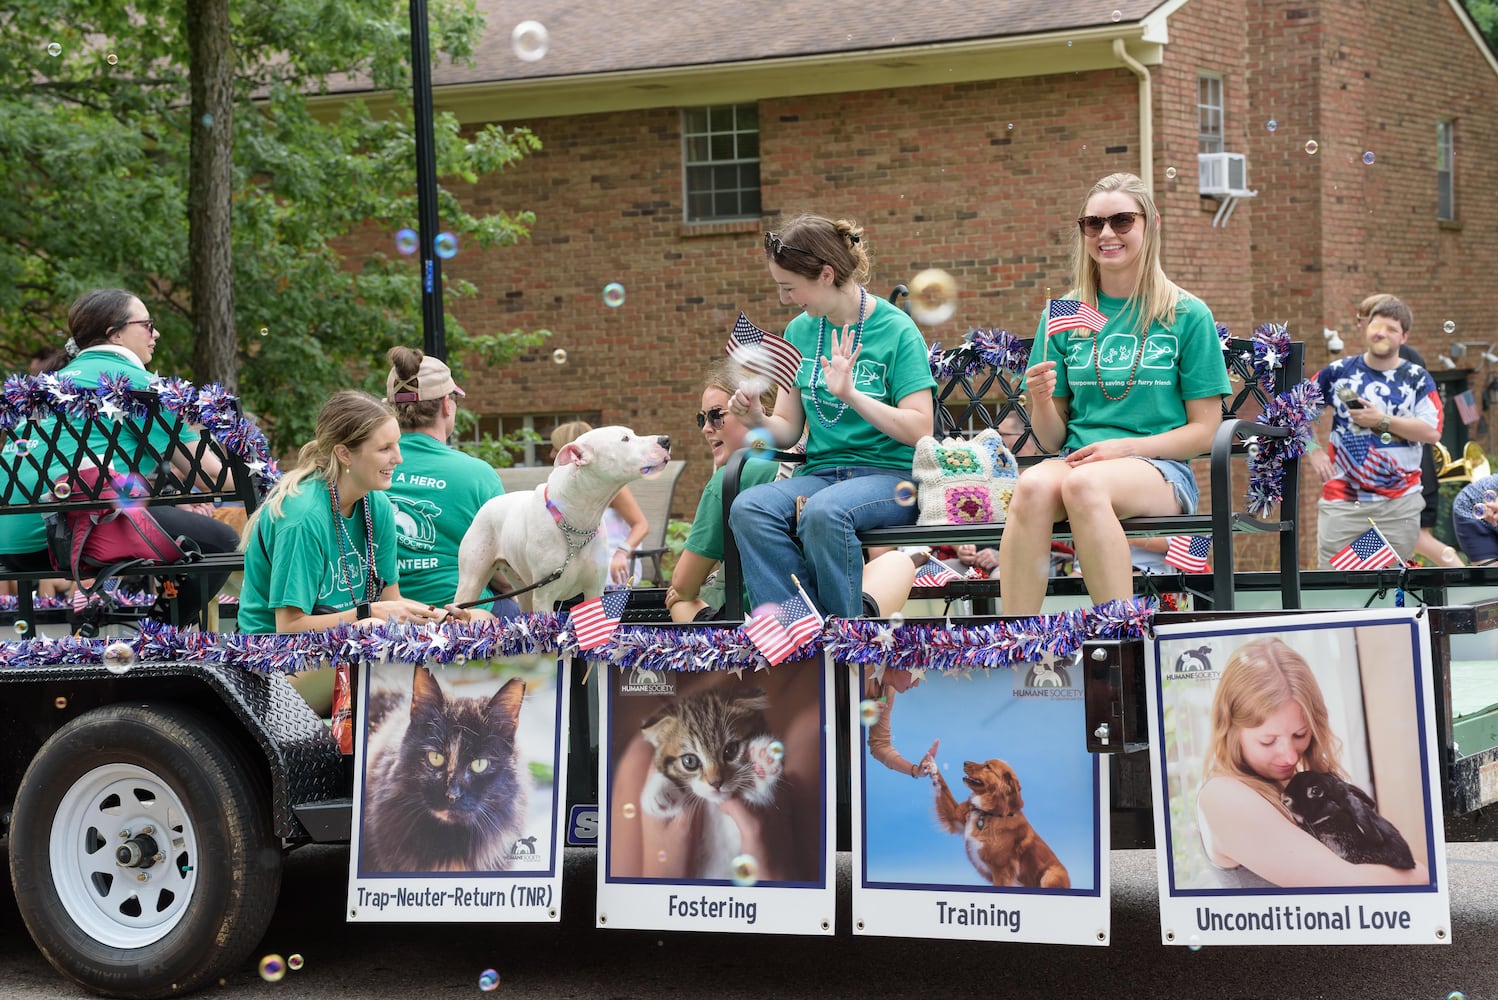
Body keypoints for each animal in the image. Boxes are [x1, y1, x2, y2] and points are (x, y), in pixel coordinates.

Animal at [452, 425, 671, 613]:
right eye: (625, 439)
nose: (665, 440)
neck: (576, 521)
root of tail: (489, 503)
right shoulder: (544, 597)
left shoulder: (594, 590)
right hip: (471, 582)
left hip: (523, 589)